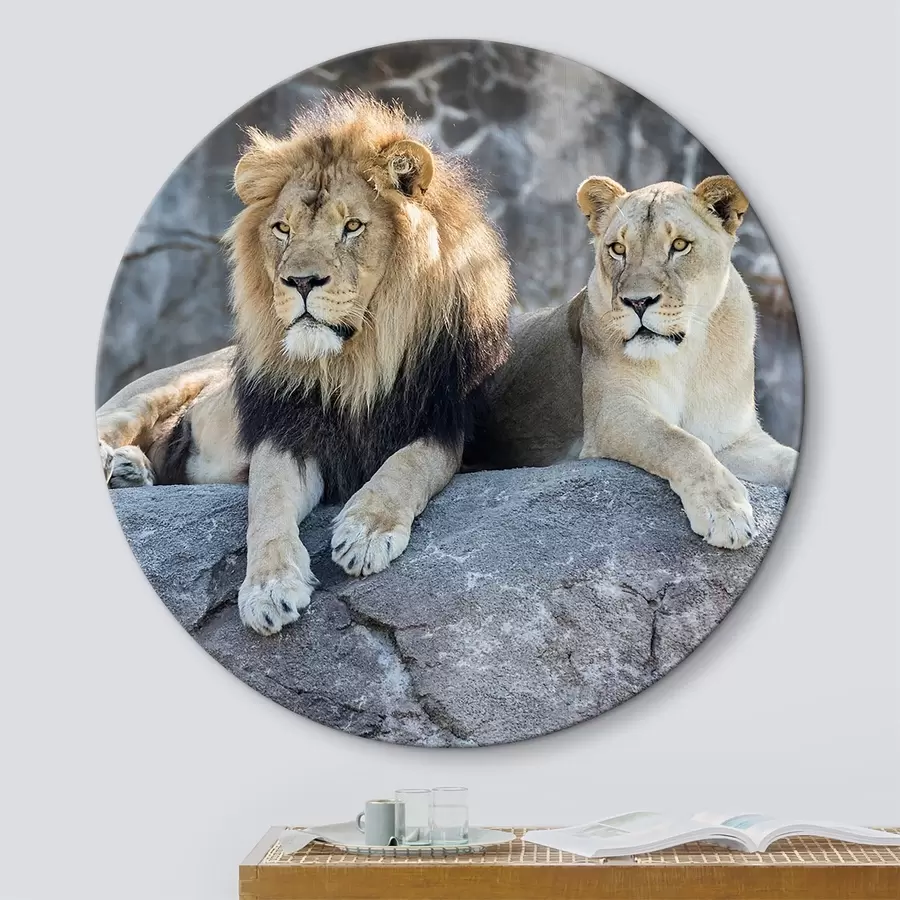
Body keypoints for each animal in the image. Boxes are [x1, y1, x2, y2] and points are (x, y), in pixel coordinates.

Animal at [98, 95, 512, 635]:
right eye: (283, 229)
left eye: (352, 226)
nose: (300, 281)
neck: (353, 365)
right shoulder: (286, 429)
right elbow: (268, 502)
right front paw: (269, 588)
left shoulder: (444, 422)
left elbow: (409, 464)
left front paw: (365, 531)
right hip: (164, 386)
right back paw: (117, 462)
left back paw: (130, 470)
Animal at [466, 174, 798, 549]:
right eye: (618, 249)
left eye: (679, 245)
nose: (638, 302)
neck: (686, 356)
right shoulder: (614, 414)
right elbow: (681, 442)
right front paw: (725, 512)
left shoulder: (732, 439)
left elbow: (786, 457)